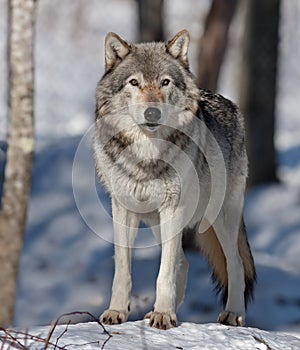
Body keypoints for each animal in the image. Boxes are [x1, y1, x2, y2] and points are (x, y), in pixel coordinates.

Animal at [93, 29, 255, 328]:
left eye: (165, 82)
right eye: (134, 82)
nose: (152, 113)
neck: (146, 156)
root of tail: (231, 104)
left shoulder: (173, 207)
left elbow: (164, 272)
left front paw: (164, 315)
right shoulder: (123, 209)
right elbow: (123, 269)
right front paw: (117, 311)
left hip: (220, 218)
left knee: (235, 263)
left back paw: (232, 314)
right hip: (159, 221)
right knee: (184, 262)